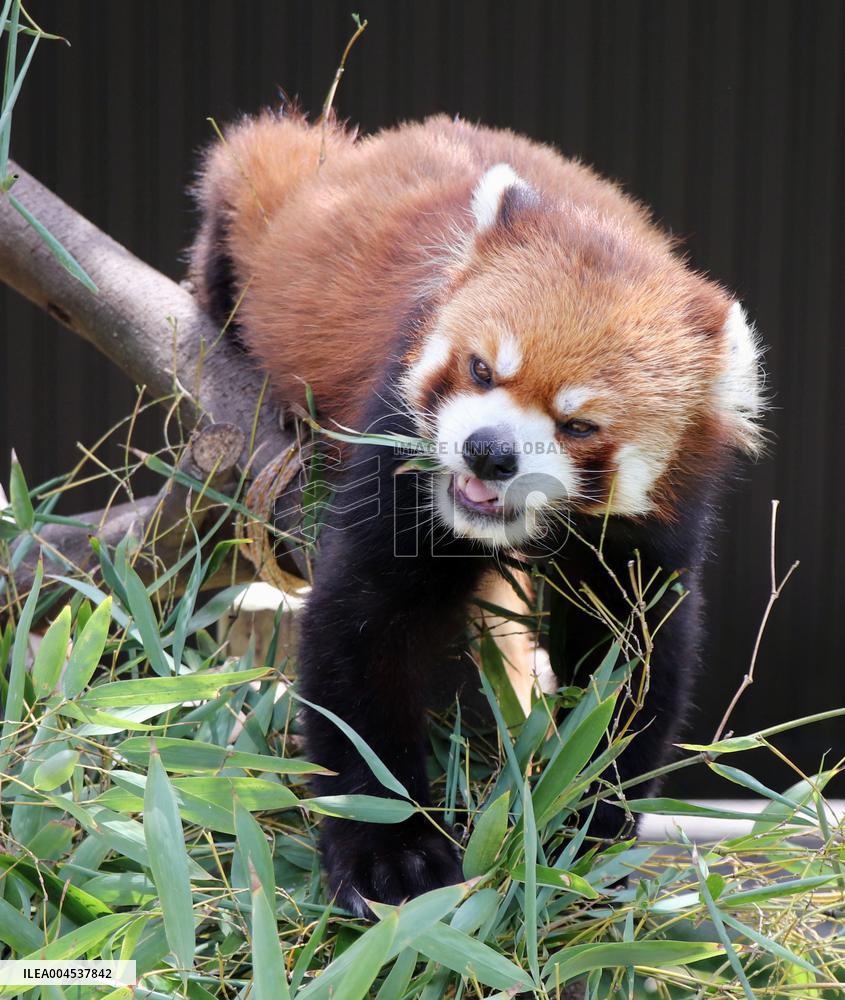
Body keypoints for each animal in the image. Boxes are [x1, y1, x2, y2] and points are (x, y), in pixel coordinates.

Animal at [189, 108, 764, 917]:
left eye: (578, 425)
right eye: (482, 369)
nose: (488, 453)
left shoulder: (658, 528)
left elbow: (633, 664)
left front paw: (582, 828)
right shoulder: (398, 440)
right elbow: (366, 634)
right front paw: (390, 852)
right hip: (280, 204)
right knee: (249, 165)